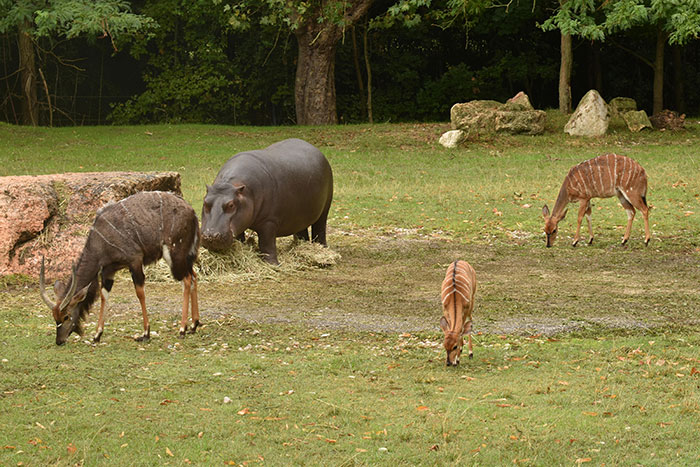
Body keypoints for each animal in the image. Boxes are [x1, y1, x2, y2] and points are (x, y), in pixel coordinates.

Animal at [39, 191, 201, 345]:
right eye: (54, 317)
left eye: (66, 316)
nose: (59, 341)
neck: (99, 243)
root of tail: (192, 211)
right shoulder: (108, 270)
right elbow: (104, 295)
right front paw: (97, 335)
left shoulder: (135, 260)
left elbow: (140, 293)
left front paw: (145, 334)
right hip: (184, 257)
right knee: (193, 275)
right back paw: (194, 325)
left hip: (174, 254)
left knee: (187, 280)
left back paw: (182, 329)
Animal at [201, 138, 333, 265]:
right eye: (205, 202)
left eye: (231, 205)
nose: (210, 236)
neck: (230, 184)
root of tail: (316, 149)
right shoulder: (241, 220)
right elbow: (239, 236)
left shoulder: (269, 222)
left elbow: (266, 244)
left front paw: (273, 264)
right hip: (300, 214)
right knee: (301, 229)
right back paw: (299, 246)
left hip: (325, 208)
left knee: (320, 228)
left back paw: (323, 252)